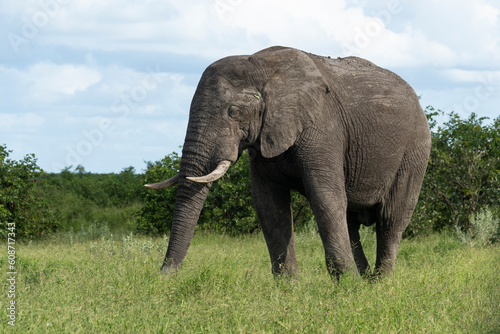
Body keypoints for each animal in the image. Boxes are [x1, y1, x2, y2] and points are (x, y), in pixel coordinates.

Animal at [145, 45, 430, 278]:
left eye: (233, 112)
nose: (163, 276)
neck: (261, 65)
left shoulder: (323, 126)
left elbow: (325, 197)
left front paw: (345, 286)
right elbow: (269, 205)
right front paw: (289, 287)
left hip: (415, 152)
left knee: (390, 219)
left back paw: (379, 283)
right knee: (351, 221)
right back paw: (365, 279)